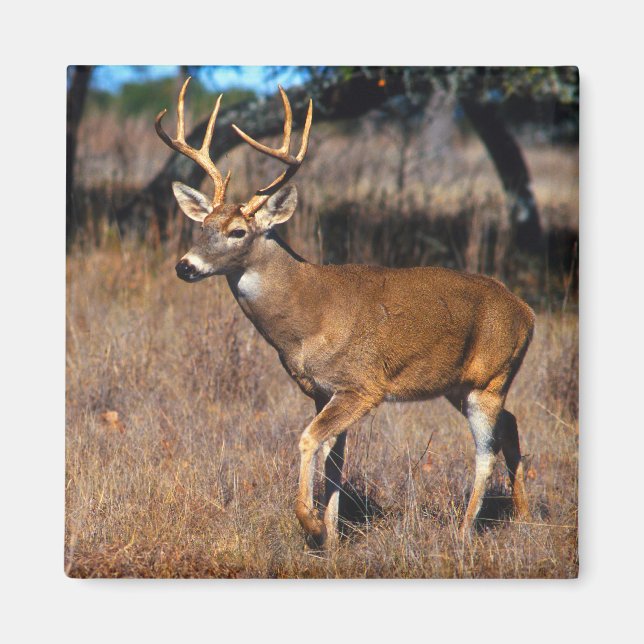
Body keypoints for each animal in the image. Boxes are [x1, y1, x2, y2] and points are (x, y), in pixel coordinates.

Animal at [155, 78, 535, 549]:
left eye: (238, 231)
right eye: (202, 226)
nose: (185, 266)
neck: (307, 318)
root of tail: (527, 312)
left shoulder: (362, 385)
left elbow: (308, 440)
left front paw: (312, 523)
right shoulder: (322, 390)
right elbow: (335, 460)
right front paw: (334, 537)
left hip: (490, 378)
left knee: (486, 451)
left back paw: (464, 532)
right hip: (461, 384)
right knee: (511, 425)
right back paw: (523, 517)